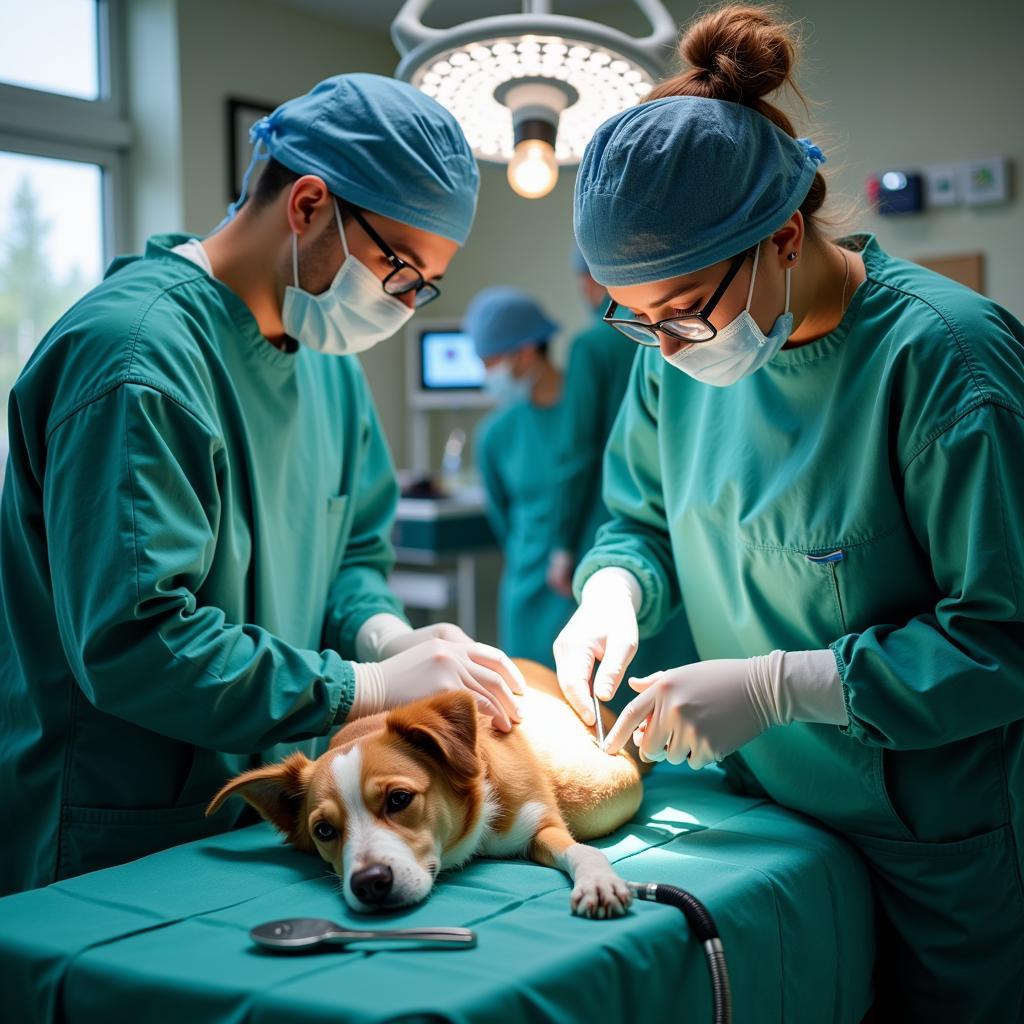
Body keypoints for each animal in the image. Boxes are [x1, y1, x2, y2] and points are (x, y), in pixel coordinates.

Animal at [205, 659, 647, 917]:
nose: (369, 883)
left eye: (399, 799)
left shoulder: (544, 820)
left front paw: (598, 879)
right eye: (324, 831)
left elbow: (581, 850)